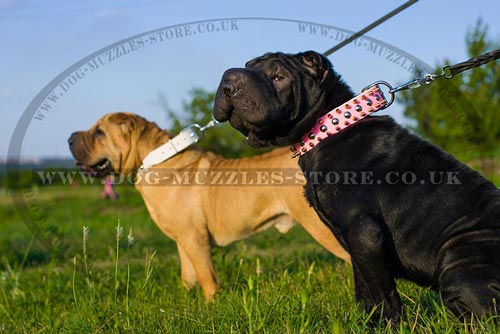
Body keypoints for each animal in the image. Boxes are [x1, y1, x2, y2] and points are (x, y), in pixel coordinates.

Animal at [68, 112, 350, 300]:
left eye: (99, 132)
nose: (70, 137)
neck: (156, 159)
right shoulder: (184, 240)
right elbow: (188, 274)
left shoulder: (195, 239)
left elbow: (206, 276)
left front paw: (212, 304)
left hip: (322, 227)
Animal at [213, 51, 500, 322]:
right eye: (251, 65)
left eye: (278, 77)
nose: (230, 80)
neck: (328, 128)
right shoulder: (354, 242)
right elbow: (363, 288)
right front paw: (366, 323)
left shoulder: (364, 232)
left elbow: (383, 291)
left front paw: (391, 325)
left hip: (459, 264)